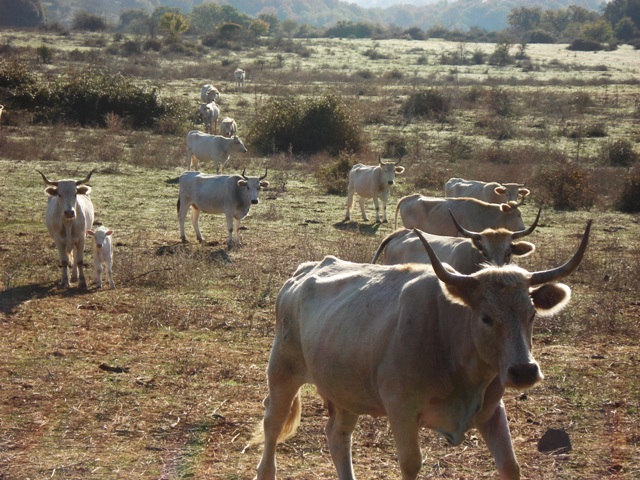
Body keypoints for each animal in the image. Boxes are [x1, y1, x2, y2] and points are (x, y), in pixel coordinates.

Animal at [252, 220, 592, 480]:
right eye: (486, 317)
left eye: (531, 314)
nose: (523, 371)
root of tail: (304, 271)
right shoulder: (401, 411)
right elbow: (411, 465)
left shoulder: (492, 411)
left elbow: (510, 465)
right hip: (283, 371)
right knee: (272, 422)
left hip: (345, 387)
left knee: (338, 436)